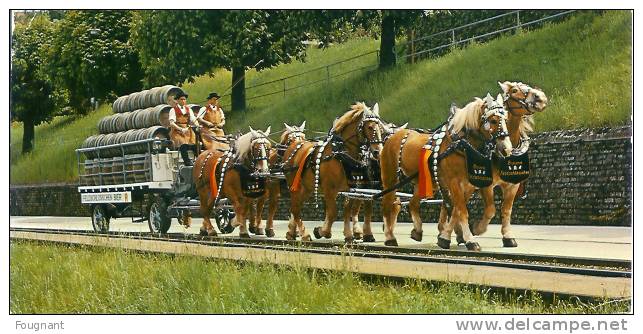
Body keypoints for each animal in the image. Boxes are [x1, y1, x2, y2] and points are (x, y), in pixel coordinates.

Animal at [284, 102, 384, 243]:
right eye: (370, 127)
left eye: (381, 128)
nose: (377, 151)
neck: (342, 153)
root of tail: (293, 146)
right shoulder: (329, 189)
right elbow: (333, 212)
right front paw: (322, 231)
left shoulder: (350, 188)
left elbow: (347, 211)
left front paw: (348, 235)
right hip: (294, 186)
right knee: (295, 208)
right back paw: (304, 234)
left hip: (307, 188)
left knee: (296, 207)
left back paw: (292, 233)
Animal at [382, 94, 512, 250]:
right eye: (493, 120)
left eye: (506, 120)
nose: (507, 149)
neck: (461, 145)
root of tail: (392, 136)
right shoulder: (454, 183)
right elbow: (462, 211)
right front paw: (470, 240)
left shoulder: (468, 186)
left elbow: (456, 210)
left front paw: (447, 237)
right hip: (390, 178)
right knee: (388, 204)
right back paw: (389, 237)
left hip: (424, 182)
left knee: (412, 204)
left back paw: (417, 231)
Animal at [452, 82, 548, 247]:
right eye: (515, 90)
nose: (540, 98)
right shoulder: (487, 185)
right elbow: (491, 210)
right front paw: (477, 228)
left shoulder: (512, 185)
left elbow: (506, 210)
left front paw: (508, 236)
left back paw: (459, 234)